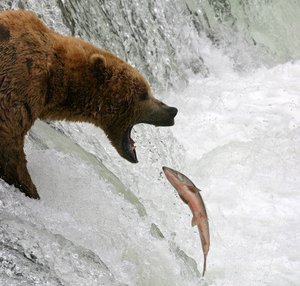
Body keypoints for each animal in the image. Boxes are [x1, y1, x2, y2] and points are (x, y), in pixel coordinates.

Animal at [0, 10, 178, 199]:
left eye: (148, 92)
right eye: (144, 94)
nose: (172, 111)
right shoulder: (22, 78)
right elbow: (9, 137)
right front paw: (31, 189)